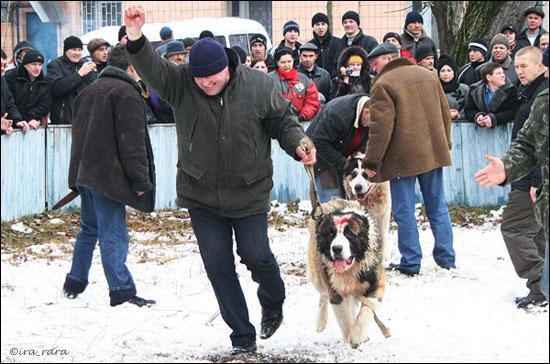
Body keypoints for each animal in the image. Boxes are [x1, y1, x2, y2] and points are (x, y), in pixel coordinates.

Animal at [308, 199, 390, 350]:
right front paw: (350, 337)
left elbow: (366, 310)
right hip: (316, 274)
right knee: (323, 294)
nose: (336, 248)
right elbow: (345, 319)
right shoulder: (336, 293)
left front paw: (357, 336)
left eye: (349, 234)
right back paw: (321, 323)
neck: (351, 268)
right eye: (331, 235)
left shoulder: (377, 284)